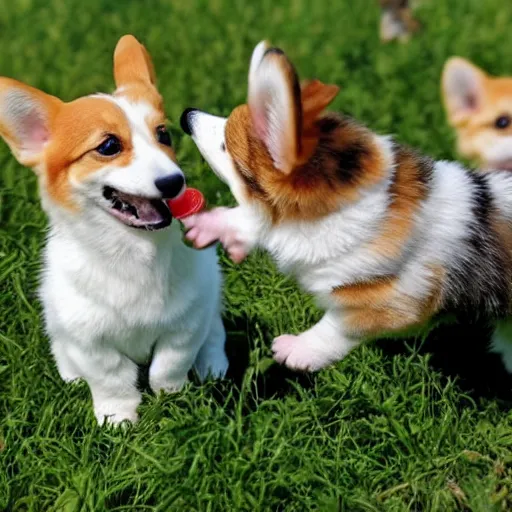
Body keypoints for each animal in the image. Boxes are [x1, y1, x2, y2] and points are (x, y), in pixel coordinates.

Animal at [0, 36, 228, 426]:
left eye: (163, 134)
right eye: (108, 146)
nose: (175, 182)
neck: (134, 250)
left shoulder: (186, 323)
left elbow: (168, 366)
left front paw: (173, 401)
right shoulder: (90, 340)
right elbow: (111, 377)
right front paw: (118, 418)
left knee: (214, 333)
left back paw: (213, 364)